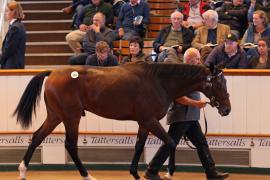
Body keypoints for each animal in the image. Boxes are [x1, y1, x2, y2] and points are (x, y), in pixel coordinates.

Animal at [14, 61, 230, 179]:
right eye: (219, 83)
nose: (227, 109)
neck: (159, 82)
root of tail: (52, 72)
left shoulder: (144, 122)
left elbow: (139, 146)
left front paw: (135, 172)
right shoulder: (150, 120)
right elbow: (170, 142)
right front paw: (166, 172)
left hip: (56, 116)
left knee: (37, 137)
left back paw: (23, 171)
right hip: (71, 117)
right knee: (70, 145)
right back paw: (87, 175)